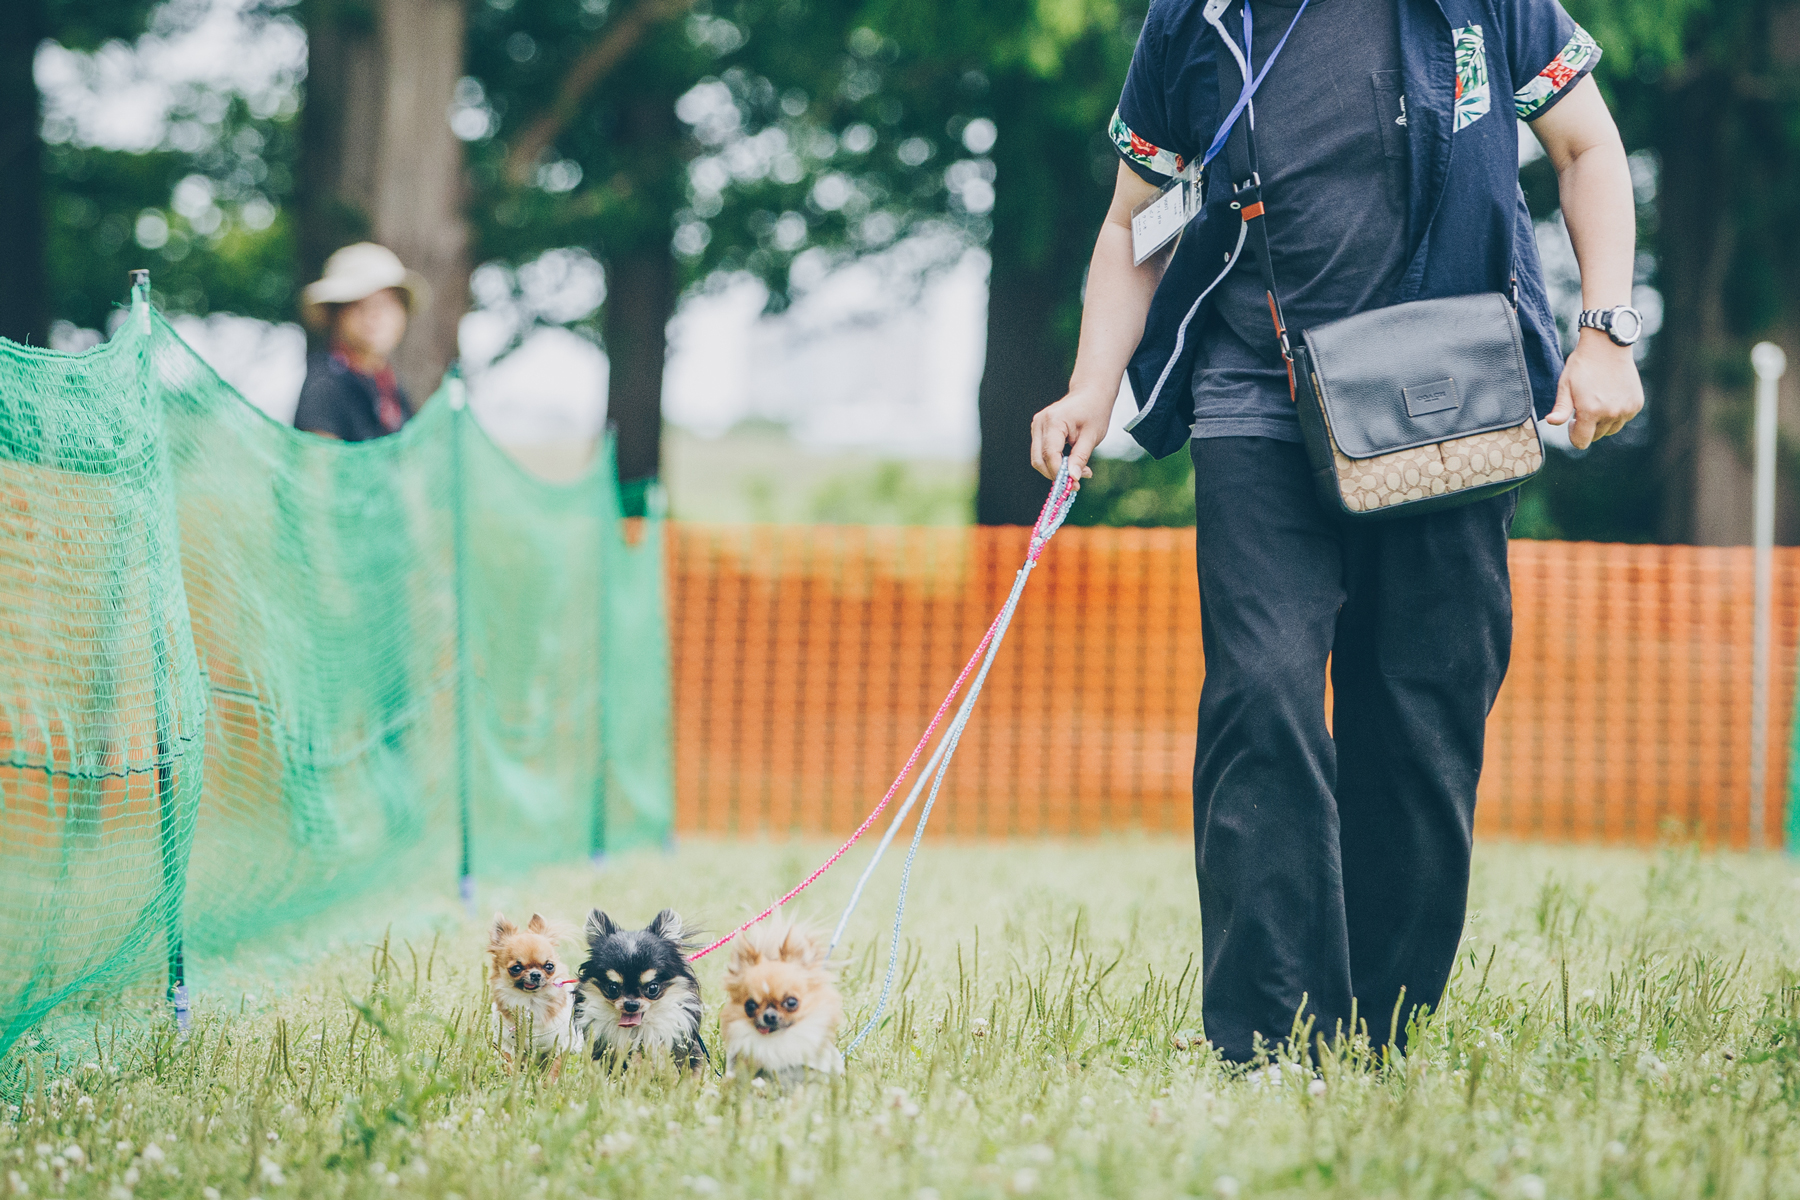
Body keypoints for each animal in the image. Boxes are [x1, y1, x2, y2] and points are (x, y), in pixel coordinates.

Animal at [486, 913, 576, 1072]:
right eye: (516, 968)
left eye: (549, 966)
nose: (535, 974)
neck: (531, 1001)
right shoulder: (507, 1044)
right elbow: (509, 1063)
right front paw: (512, 1077)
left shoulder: (559, 1045)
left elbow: (552, 1070)